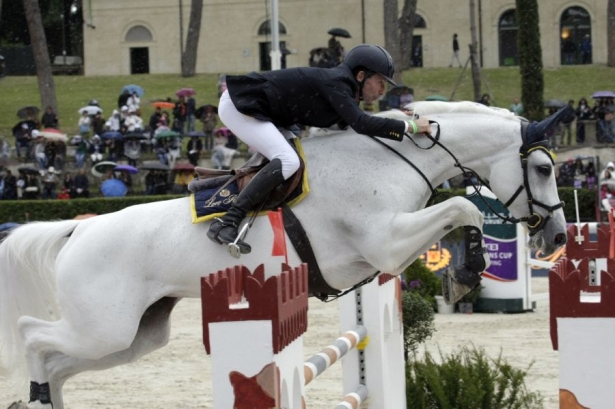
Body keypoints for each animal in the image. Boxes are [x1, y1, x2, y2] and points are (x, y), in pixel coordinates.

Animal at [0, 101, 568, 404]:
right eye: (542, 169)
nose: (559, 238)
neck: (390, 161)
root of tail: (77, 231)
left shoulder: (382, 254)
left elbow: (458, 214)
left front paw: (464, 273)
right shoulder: (385, 245)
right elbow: (464, 208)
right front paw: (468, 272)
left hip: (136, 336)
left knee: (58, 363)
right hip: (105, 328)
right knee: (33, 337)